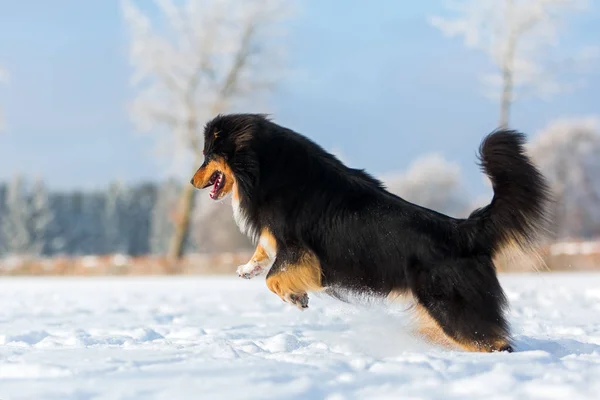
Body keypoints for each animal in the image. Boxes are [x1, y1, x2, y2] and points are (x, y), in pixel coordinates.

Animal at [190, 113, 552, 354]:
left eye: (207, 156)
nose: (192, 182)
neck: (264, 166)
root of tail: (463, 231)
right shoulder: (280, 240)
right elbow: (264, 256)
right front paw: (247, 269)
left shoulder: (297, 246)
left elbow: (275, 278)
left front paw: (297, 297)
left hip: (451, 307)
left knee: (492, 341)